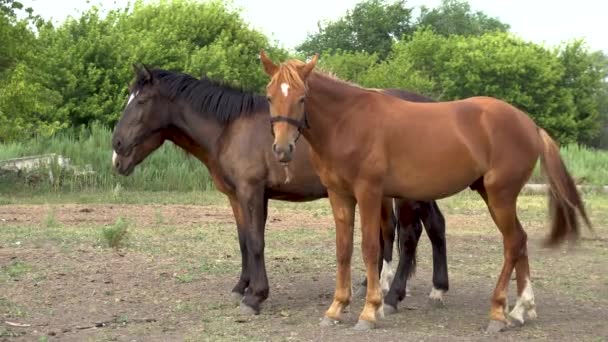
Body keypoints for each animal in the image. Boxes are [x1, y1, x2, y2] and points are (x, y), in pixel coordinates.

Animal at [110, 64, 446, 316]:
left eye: (140, 101)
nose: (117, 146)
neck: (231, 128)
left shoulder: (253, 192)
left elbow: (257, 242)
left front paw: (255, 296)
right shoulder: (236, 197)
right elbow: (244, 241)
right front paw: (241, 287)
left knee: (410, 235)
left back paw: (393, 297)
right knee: (432, 226)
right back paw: (433, 288)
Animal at [258, 52, 592, 332]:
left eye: (302, 98)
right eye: (269, 97)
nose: (282, 149)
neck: (348, 121)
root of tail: (530, 126)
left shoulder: (369, 193)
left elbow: (370, 247)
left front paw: (370, 311)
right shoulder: (340, 196)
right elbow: (343, 250)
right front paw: (336, 309)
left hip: (501, 196)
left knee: (513, 243)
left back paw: (498, 313)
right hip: (491, 194)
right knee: (520, 241)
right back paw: (522, 309)